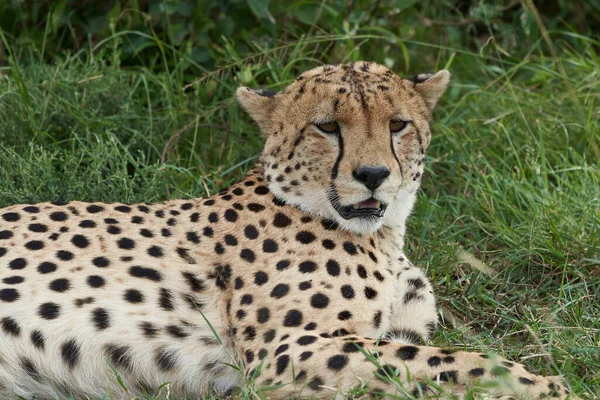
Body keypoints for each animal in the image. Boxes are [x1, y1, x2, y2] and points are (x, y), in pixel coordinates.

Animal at [0, 61, 568, 398]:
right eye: (327, 127)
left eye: (398, 125)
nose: (373, 175)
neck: (381, 237)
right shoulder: (288, 351)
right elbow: (456, 361)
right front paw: (544, 384)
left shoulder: (389, 333)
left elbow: (432, 360)